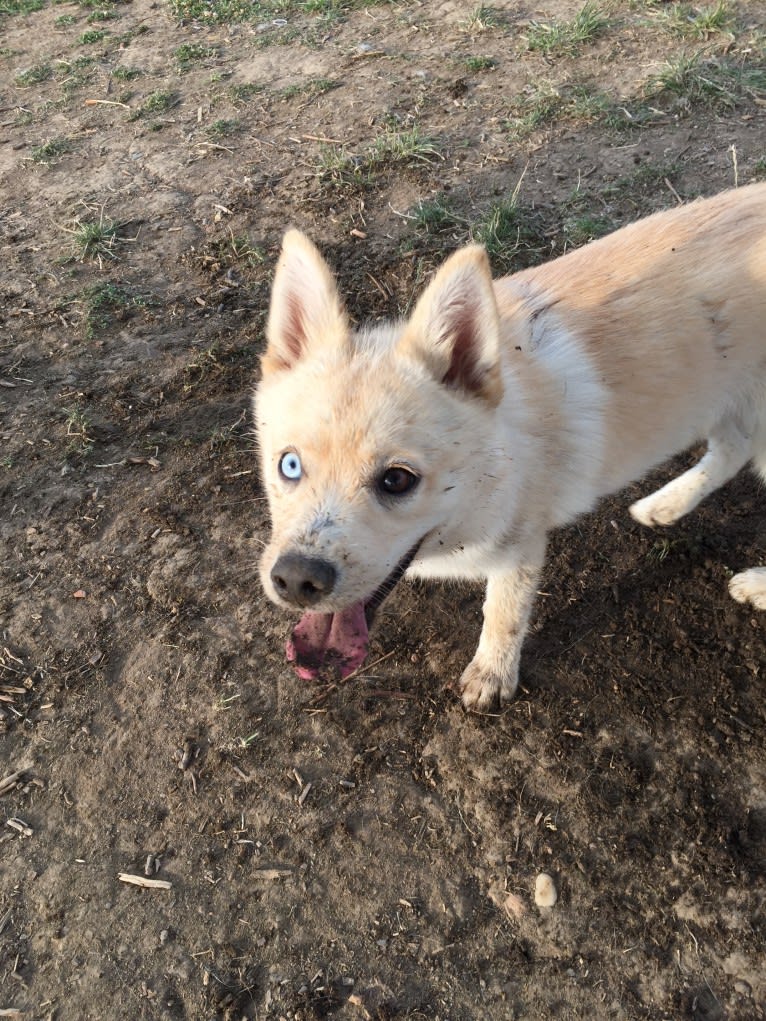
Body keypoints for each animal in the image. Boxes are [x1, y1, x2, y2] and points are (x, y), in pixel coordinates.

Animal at [256, 183, 766, 706]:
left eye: (397, 480)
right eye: (289, 466)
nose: (295, 580)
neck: (501, 451)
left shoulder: (520, 545)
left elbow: (503, 614)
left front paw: (492, 677)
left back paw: (757, 586)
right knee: (731, 451)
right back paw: (664, 504)